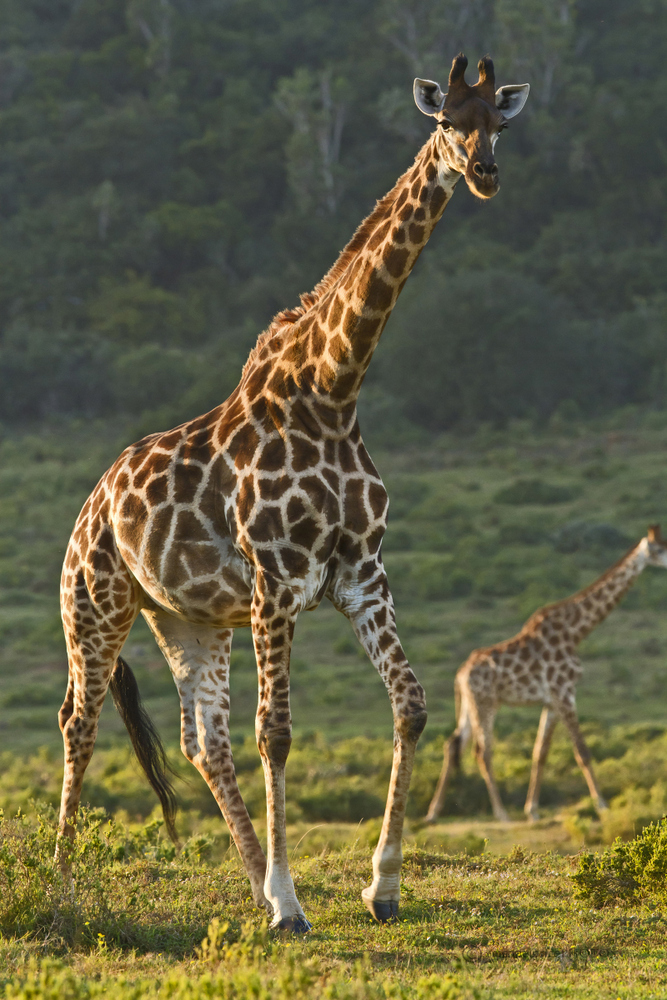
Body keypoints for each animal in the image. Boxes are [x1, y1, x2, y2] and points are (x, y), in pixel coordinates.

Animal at [54, 54, 528, 928]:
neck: (333, 389)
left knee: (201, 739)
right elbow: (276, 732)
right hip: (95, 603)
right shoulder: (278, 578)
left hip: (189, 618)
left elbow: (410, 706)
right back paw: (66, 878)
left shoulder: (362, 575)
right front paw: (291, 903)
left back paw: (250, 884)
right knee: (81, 718)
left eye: (500, 124)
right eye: (446, 120)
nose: (482, 173)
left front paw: (380, 887)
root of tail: (92, 504)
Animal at [426, 528, 667, 824]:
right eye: (659, 549)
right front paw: (601, 804)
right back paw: (501, 813)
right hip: (486, 704)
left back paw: (434, 812)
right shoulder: (565, 693)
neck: (577, 631)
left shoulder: (551, 701)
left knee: (453, 744)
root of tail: (460, 675)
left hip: (470, 705)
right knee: (483, 751)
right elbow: (582, 751)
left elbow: (539, 752)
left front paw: (533, 810)